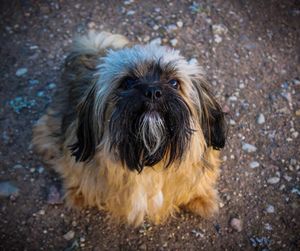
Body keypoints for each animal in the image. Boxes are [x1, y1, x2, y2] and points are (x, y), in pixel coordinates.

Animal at [32, 30, 225, 226]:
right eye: (127, 82)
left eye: (174, 83)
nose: (153, 91)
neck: (148, 159)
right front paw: (79, 193)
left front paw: (202, 199)